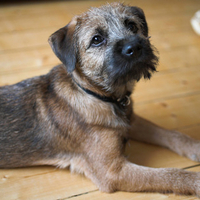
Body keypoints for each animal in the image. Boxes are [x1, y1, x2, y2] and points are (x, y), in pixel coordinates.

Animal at [0, 2, 200, 197]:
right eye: (96, 39)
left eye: (132, 26)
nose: (134, 47)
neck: (100, 96)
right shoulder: (113, 172)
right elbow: (169, 174)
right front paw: (196, 181)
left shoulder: (132, 122)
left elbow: (172, 134)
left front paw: (195, 147)